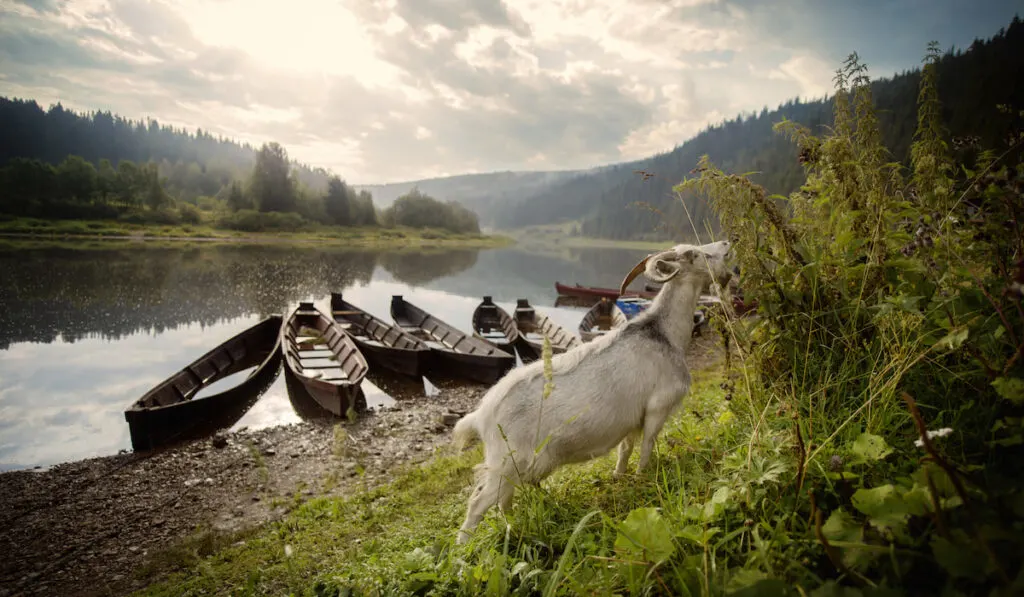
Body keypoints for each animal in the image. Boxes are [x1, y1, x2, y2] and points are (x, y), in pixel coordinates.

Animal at [452, 240, 733, 544]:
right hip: (506, 461)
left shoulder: (633, 417)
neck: (664, 335)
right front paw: (643, 478)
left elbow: (625, 449)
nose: (726, 244)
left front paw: (619, 477)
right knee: (478, 503)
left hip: (512, 467)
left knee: (503, 500)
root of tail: (481, 416)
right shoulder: (657, 408)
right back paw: (464, 549)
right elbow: (646, 447)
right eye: (696, 254)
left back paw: (513, 527)